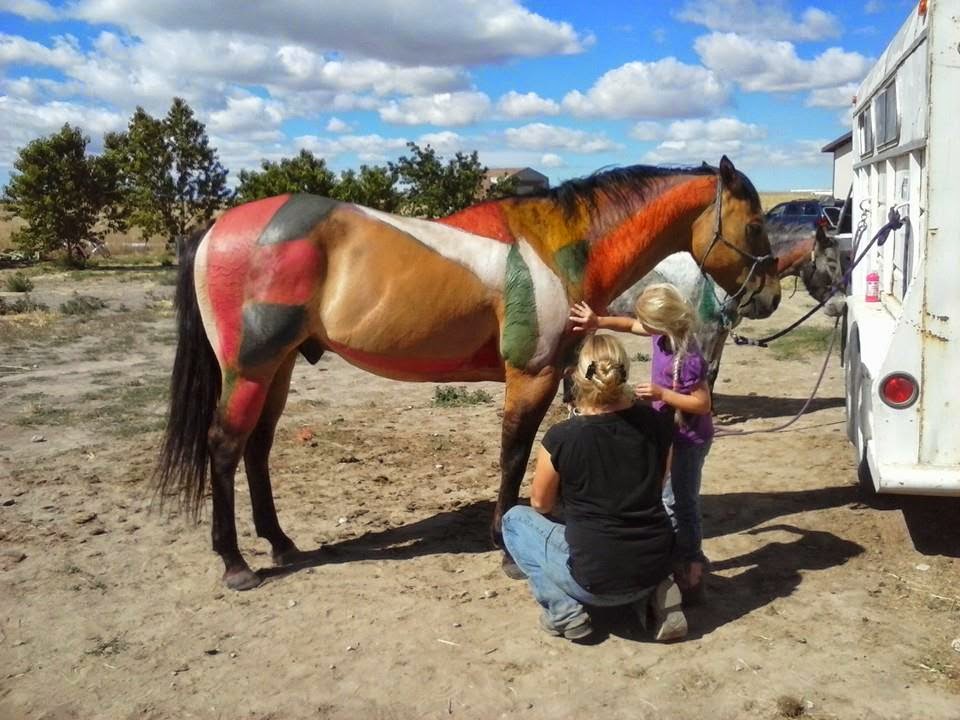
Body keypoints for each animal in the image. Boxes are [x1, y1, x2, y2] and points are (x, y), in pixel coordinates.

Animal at [157, 155, 781, 591]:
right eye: (755, 226)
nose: (769, 297)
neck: (557, 248)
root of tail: (215, 229)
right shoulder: (529, 376)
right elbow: (514, 455)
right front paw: (505, 547)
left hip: (279, 369)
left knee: (257, 449)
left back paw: (280, 543)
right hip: (251, 369)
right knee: (225, 448)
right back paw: (236, 563)